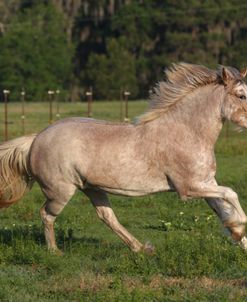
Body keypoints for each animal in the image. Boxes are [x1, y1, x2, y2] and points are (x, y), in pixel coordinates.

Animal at [0, 62, 247, 254]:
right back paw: (54, 252)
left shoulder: (207, 183)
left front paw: (238, 236)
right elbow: (231, 194)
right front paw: (241, 227)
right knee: (47, 214)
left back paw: (140, 248)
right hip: (60, 191)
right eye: (241, 95)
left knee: (107, 217)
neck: (186, 131)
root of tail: (36, 139)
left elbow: (223, 208)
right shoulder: (189, 188)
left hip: (92, 188)